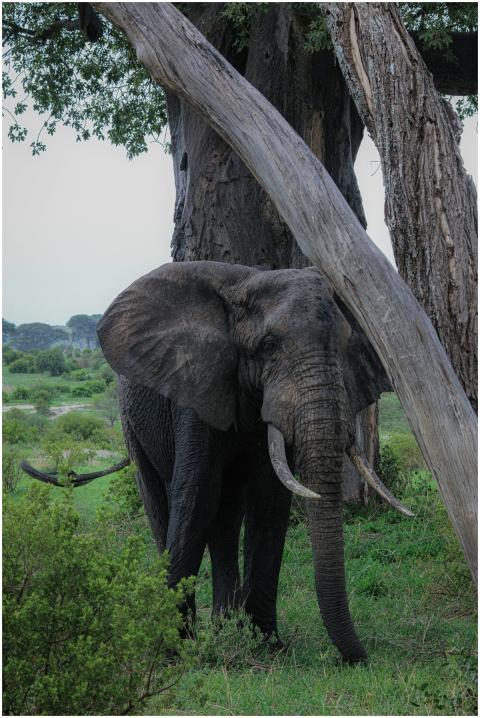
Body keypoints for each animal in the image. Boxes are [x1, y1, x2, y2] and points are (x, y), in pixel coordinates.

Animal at [23, 260, 413, 663]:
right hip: (130, 419)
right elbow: (197, 493)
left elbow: (269, 500)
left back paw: (226, 626)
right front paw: (172, 649)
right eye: (267, 347)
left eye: (344, 346)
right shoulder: (196, 389)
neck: (248, 283)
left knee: (226, 514)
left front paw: (267, 644)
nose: (361, 658)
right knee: (161, 500)